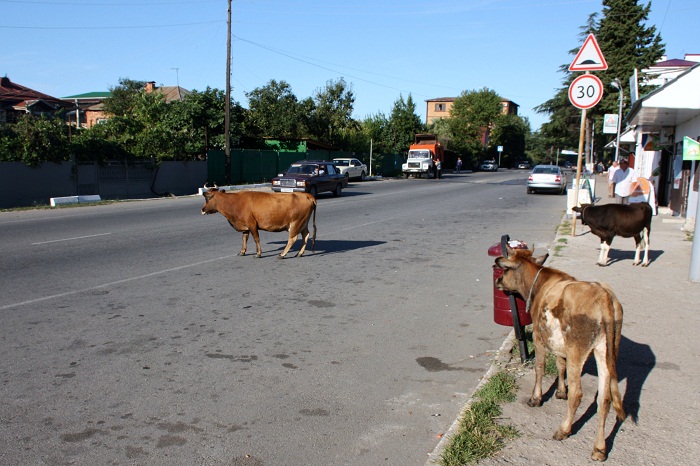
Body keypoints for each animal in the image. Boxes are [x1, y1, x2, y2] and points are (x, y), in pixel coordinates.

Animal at [495, 249, 626, 462]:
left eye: (505, 270)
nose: (498, 281)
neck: (539, 284)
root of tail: (604, 296)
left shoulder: (539, 337)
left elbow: (539, 367)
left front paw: (536, 398)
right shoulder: (557, 341)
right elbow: (559, 364)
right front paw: (560, 391)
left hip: (577, 350)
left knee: (578, 394)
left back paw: (564, 429)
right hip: (605, 351)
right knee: (604, 400)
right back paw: (599, 448)